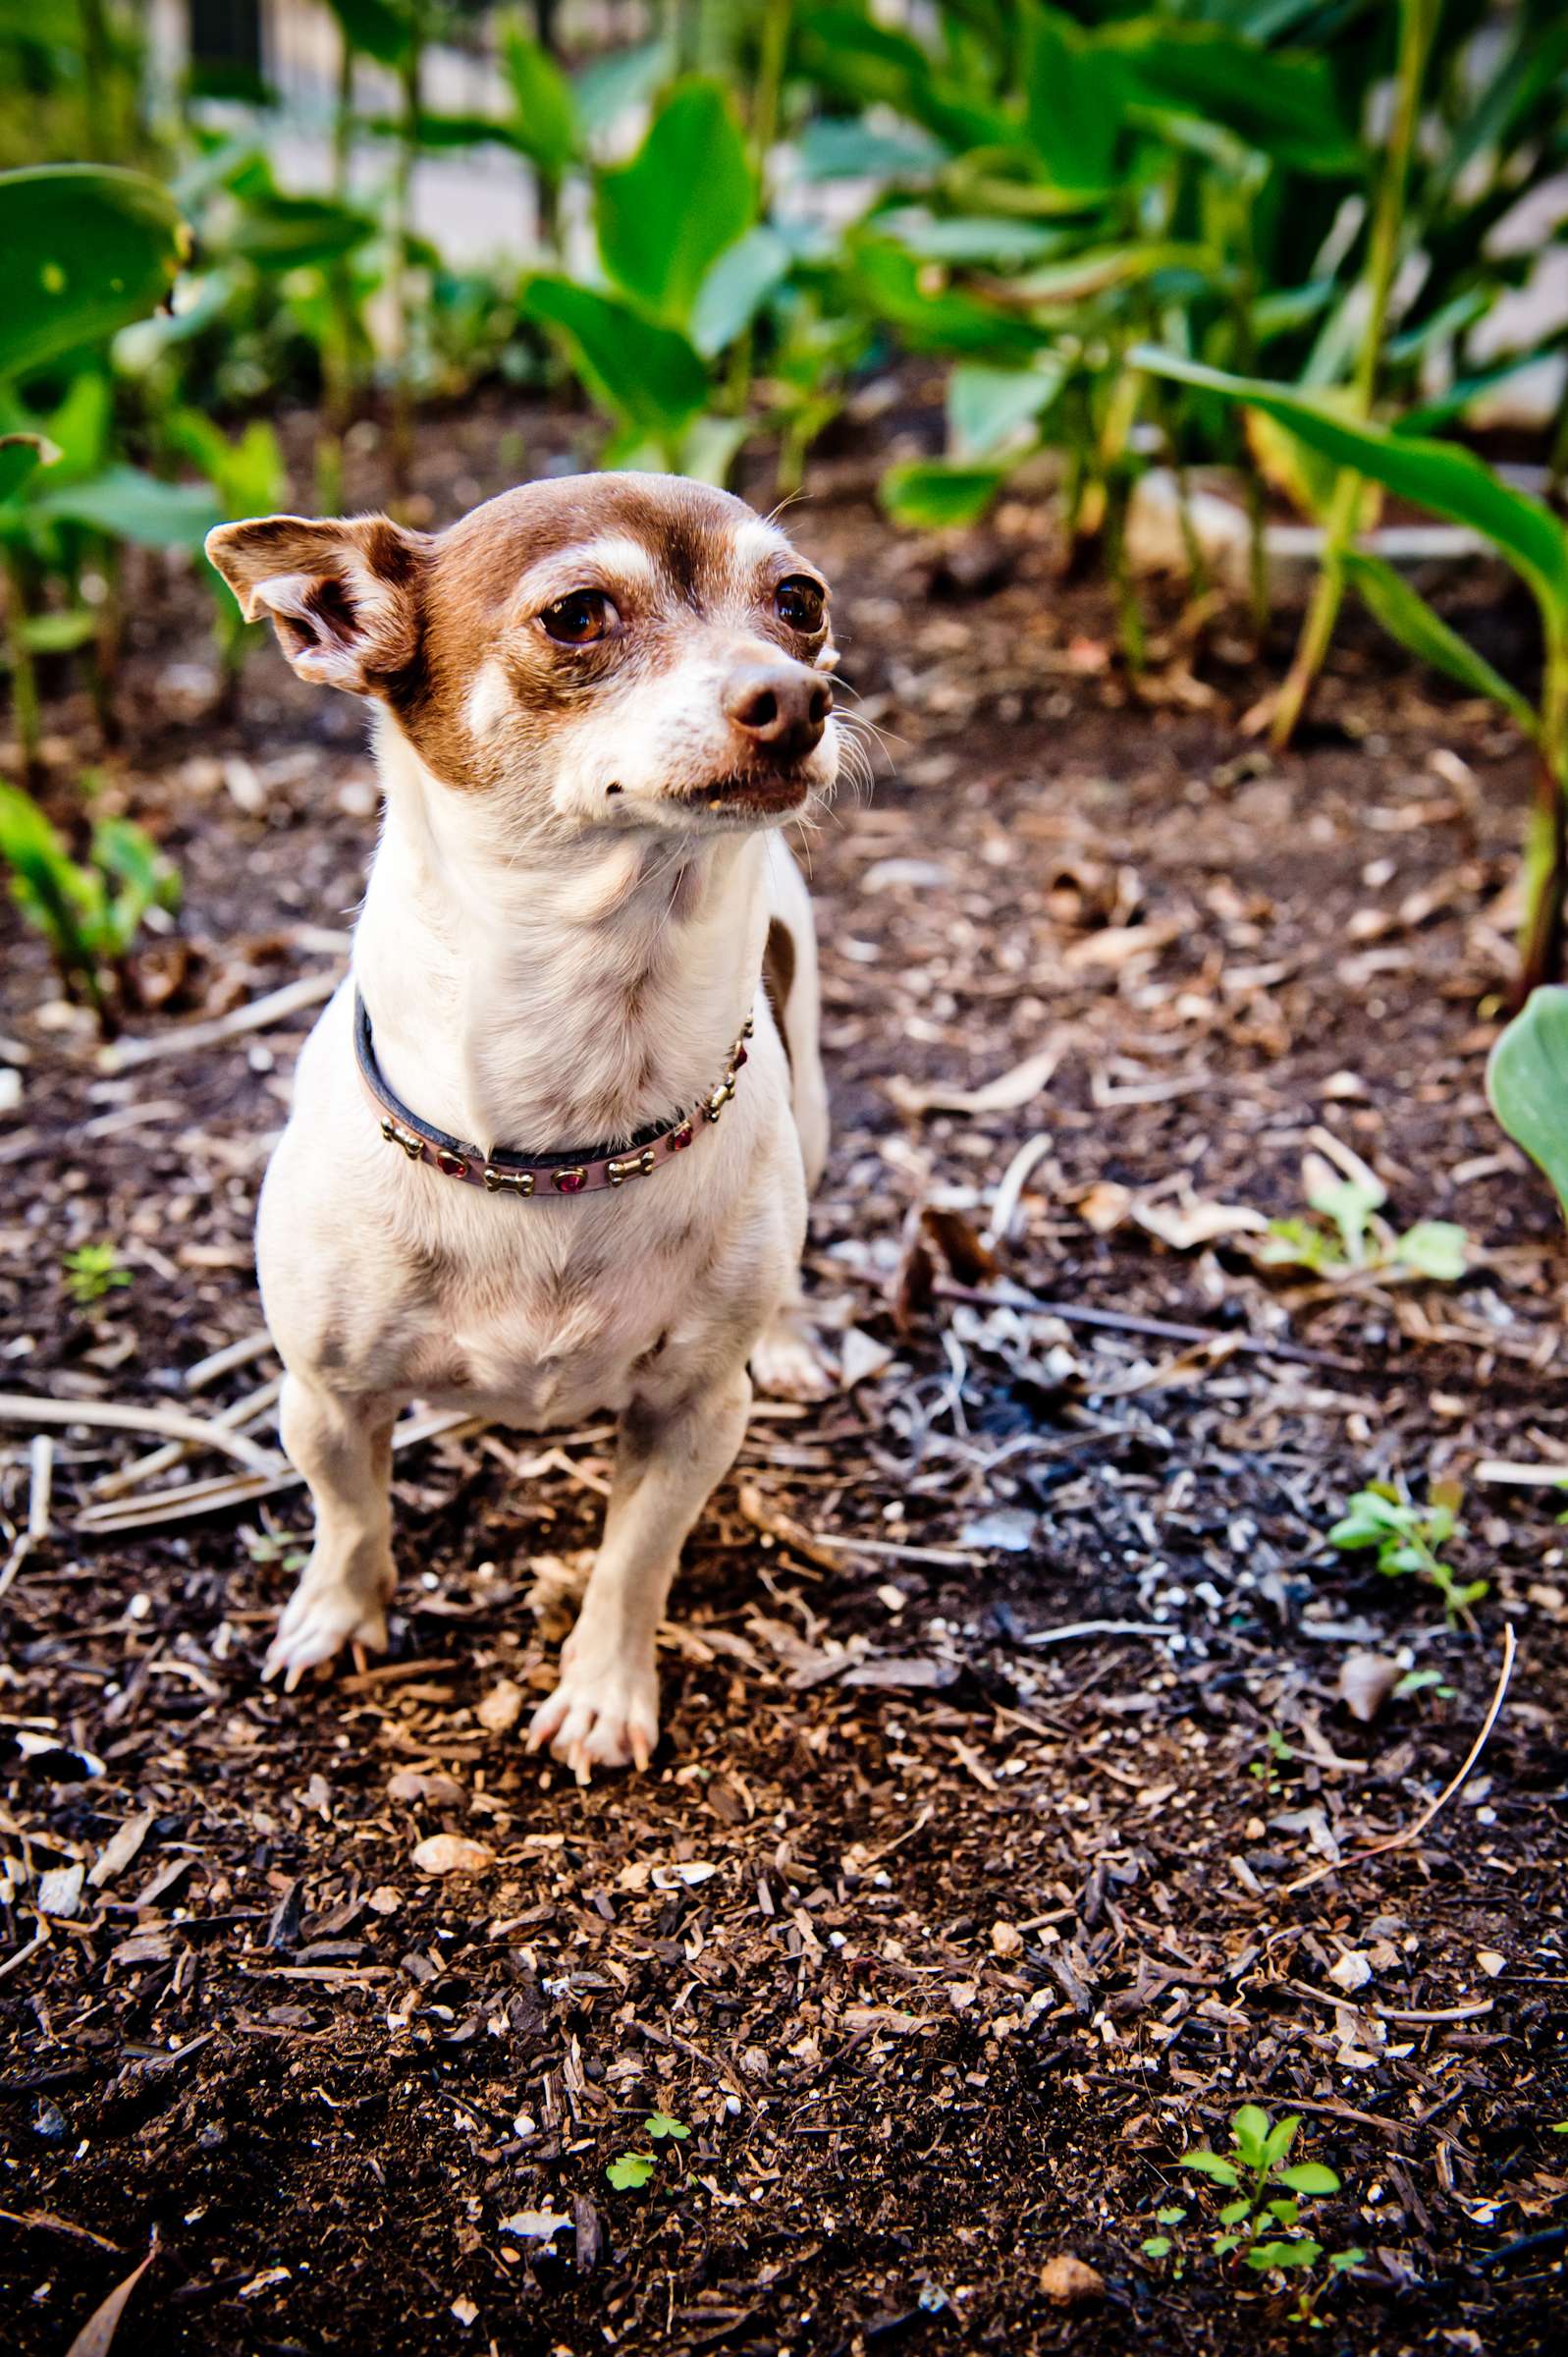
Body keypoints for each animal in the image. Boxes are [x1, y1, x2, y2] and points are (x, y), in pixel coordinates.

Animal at [209, 473, 843, 1772]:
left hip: (808, 1091)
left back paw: (797, 1334)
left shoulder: (694, 1415)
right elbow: (350, 1515)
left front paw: (603, 1693)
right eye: (576, 615)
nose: (795, 696)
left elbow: (633, 1563)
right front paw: (337, 1616)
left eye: (799, 600)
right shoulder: (323, 1397)